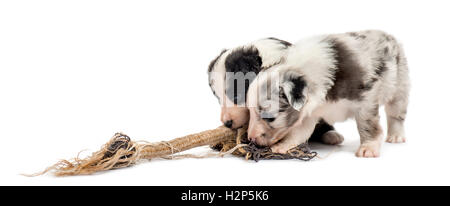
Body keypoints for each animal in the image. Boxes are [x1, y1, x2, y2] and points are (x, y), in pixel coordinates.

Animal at [248, 29, 410, 157]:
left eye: (269, 117)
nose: (250, 138)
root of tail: (389, 35)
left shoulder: (366, 101)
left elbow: (367, 125)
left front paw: (368, 148)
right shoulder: (309, 113)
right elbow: (299, 132)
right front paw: (283, 146)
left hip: (400, 87)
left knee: (395, 115)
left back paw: (395, 136)